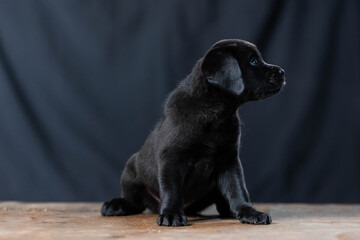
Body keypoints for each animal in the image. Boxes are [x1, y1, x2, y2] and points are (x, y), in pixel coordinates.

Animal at [102, 39, 286, 227]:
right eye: (253, 61)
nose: (282, 72)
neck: (216, 115)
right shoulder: (171, 159)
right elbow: (172, 190)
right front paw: (171, 214)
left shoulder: (229, 159)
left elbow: (238, 188)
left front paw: (249, 211)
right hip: (130, 170)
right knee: (134, 201)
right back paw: (115, 205)